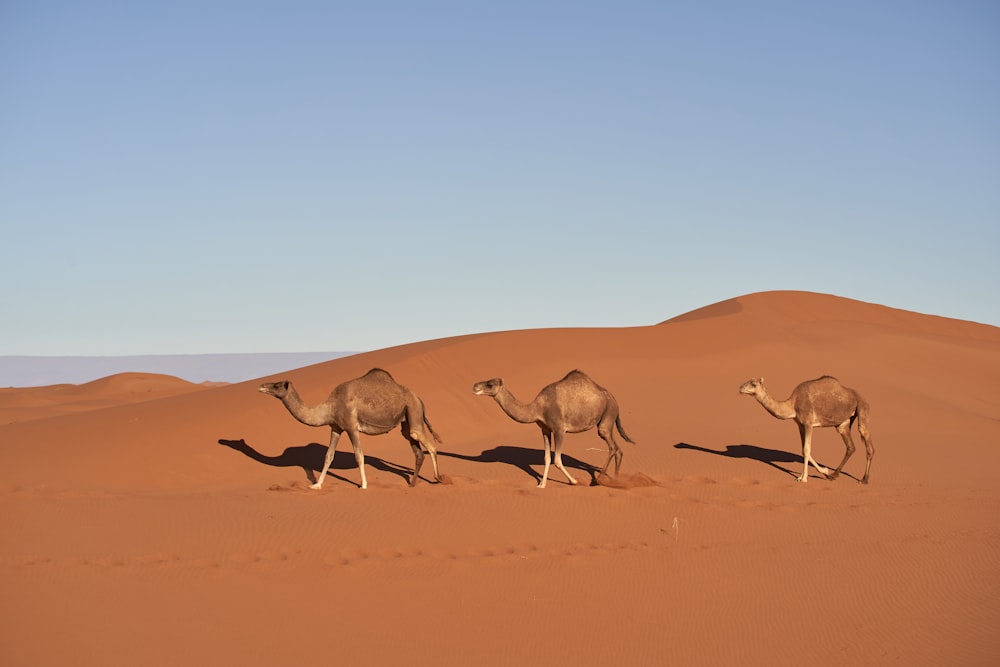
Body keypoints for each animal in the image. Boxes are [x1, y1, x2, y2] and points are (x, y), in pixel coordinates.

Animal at [258, 366, 442, 490]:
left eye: (277, 385)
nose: (261, 385)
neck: (330, 407)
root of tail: (419, 399)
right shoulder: (336, 427)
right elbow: (328, 456)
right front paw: (316, 485)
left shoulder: (351, 427)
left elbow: (359, 455)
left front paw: (364, 485)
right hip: (407, 420)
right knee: (417, 450)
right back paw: (412, 484)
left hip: (413, 411)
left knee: (429, 444)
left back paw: (438, 478)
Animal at [472, 368, 636, 488]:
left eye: (490, 384)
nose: (474, 386)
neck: (538, 408)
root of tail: (614, 399)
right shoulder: (545, 429)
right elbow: (547, 458)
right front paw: (542, 485)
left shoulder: (559, 429)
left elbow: (557, 459)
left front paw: (574, 481)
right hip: (607, 421)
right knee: (618, 449)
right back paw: (615, 480)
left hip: (607, 416)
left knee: (612, 447)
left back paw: (599, 479)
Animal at [736, 376, 876, 486]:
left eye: (753, 384)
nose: (740, 388)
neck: (793, 404)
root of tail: (861, 397)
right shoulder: (800, 425)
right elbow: (803, 450)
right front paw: (824, 471)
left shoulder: (809, 424)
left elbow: (807, 449)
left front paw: (803, 478)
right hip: (844, 422)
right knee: (850, 446)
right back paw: (833, 475)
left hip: (862, 408)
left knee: (868, 443)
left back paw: (864, 480)